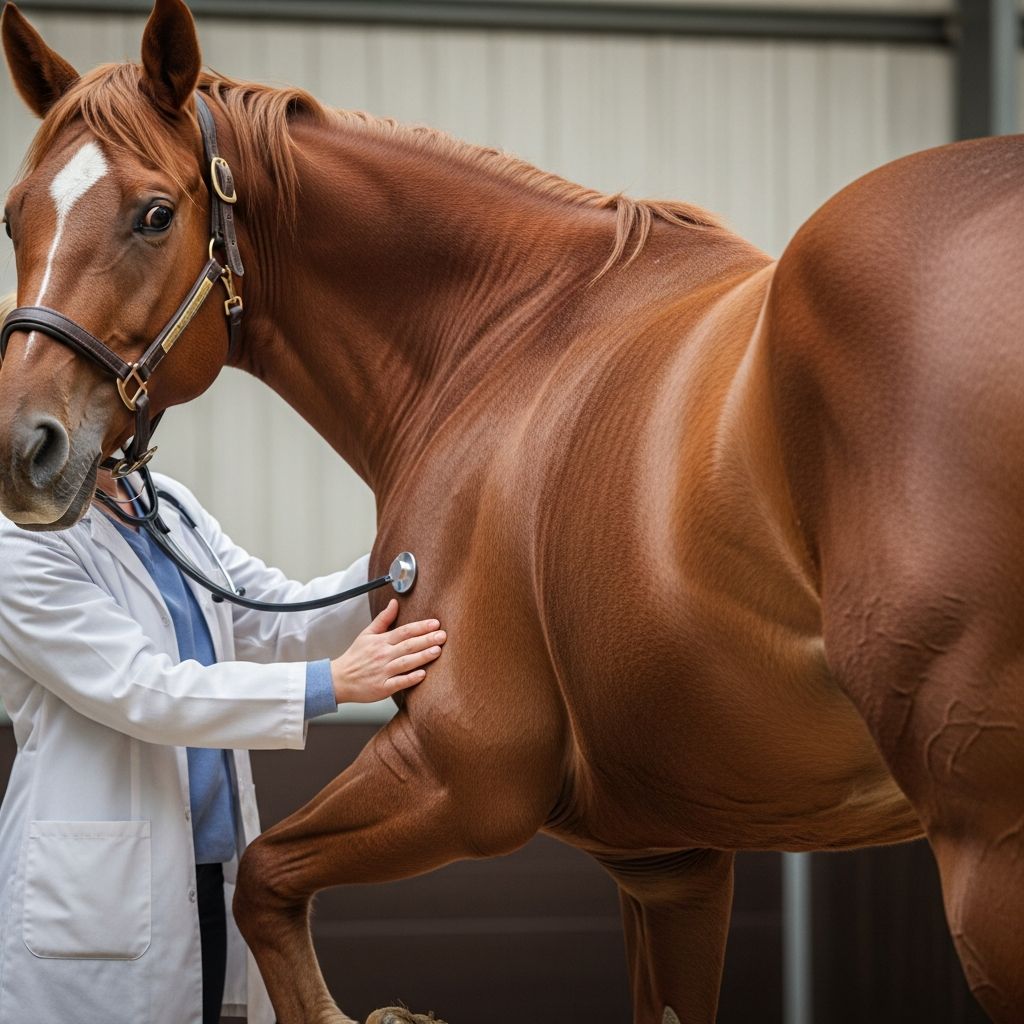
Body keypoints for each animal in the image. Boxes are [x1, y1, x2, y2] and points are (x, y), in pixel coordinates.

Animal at [0, 1, 1021, 1021]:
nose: (23, 447)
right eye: (16, 218)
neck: (502, 342)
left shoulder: (465, 777)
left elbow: (260, 879)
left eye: (154, 214)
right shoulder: (671, 864)